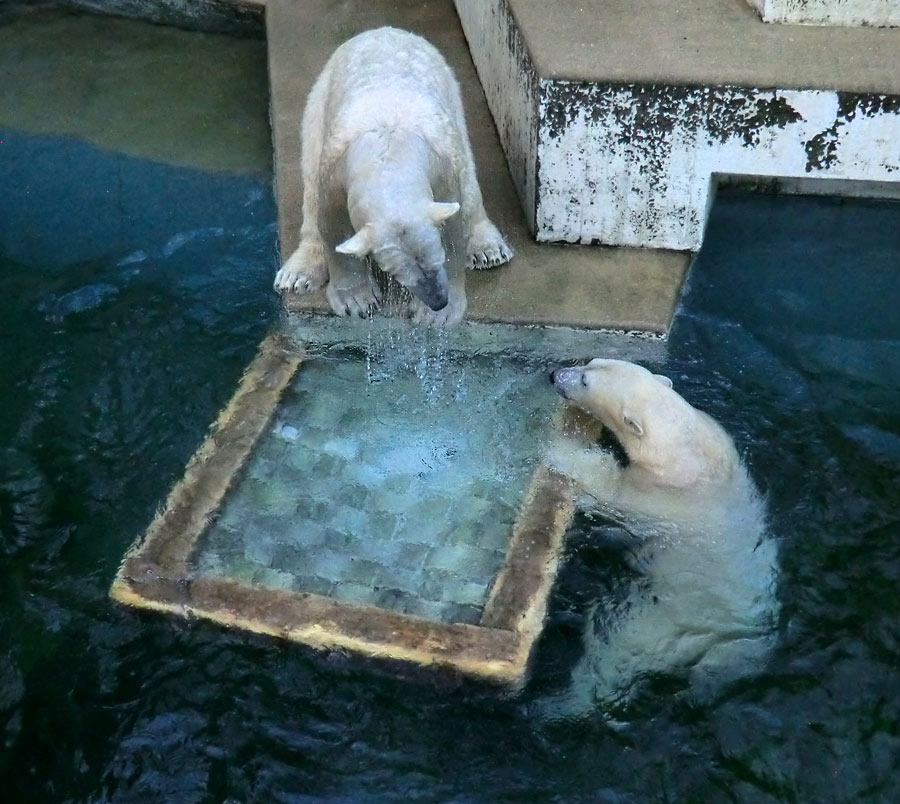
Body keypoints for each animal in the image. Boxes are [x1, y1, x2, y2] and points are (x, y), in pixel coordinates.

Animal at [272, 27, 512, 326]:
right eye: (398, 272)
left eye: (436, 259)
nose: (438, 300)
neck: (389, 152)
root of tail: (386, 30)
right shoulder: (334, 173)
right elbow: (331, 223)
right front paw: (357, 301)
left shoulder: (442, 167)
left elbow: (455, 224)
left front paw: (437, 315)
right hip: (318, 101)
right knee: (309, 177)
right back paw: (297, 274)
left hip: (452, 96)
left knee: (469, 179)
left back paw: (487, 250)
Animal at [536, 358, 776, 716]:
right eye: (590, 362)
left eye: (584, 381)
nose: (554, 375)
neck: (685, 447)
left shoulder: (656, 493)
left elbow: (609, 488)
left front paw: (560, 450)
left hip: (662, 622)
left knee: (618, 647)